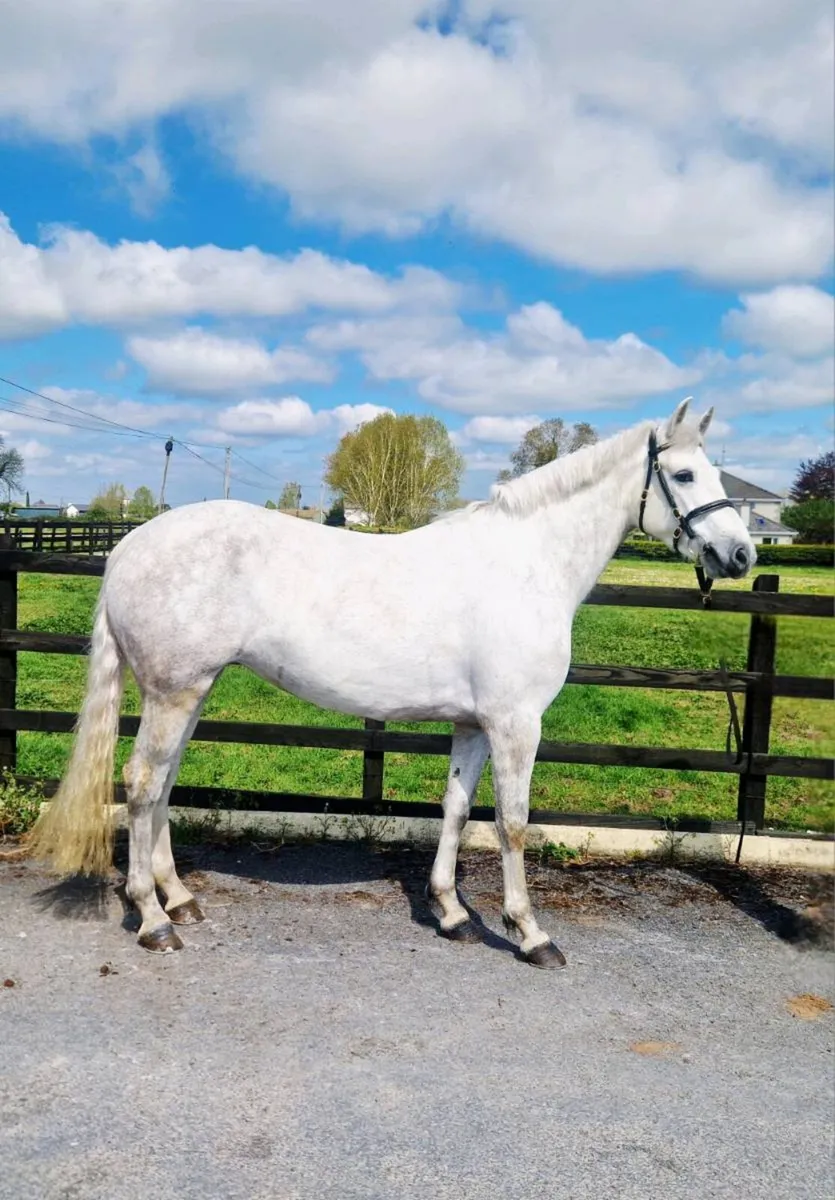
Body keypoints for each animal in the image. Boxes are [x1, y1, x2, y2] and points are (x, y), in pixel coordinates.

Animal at [28, 398, 755, 966]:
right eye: (683, 474)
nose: (741, 554)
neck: (527, 565)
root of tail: (129, 547)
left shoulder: (473, 724)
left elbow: (456, 808)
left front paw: (452, 913)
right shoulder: (516, 723)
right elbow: (513, 823)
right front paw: (529, 933)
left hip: (191, 691)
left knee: (163, 784)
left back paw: (179, 900)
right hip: (174, 692)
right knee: (142, 785)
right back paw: (152, 921)